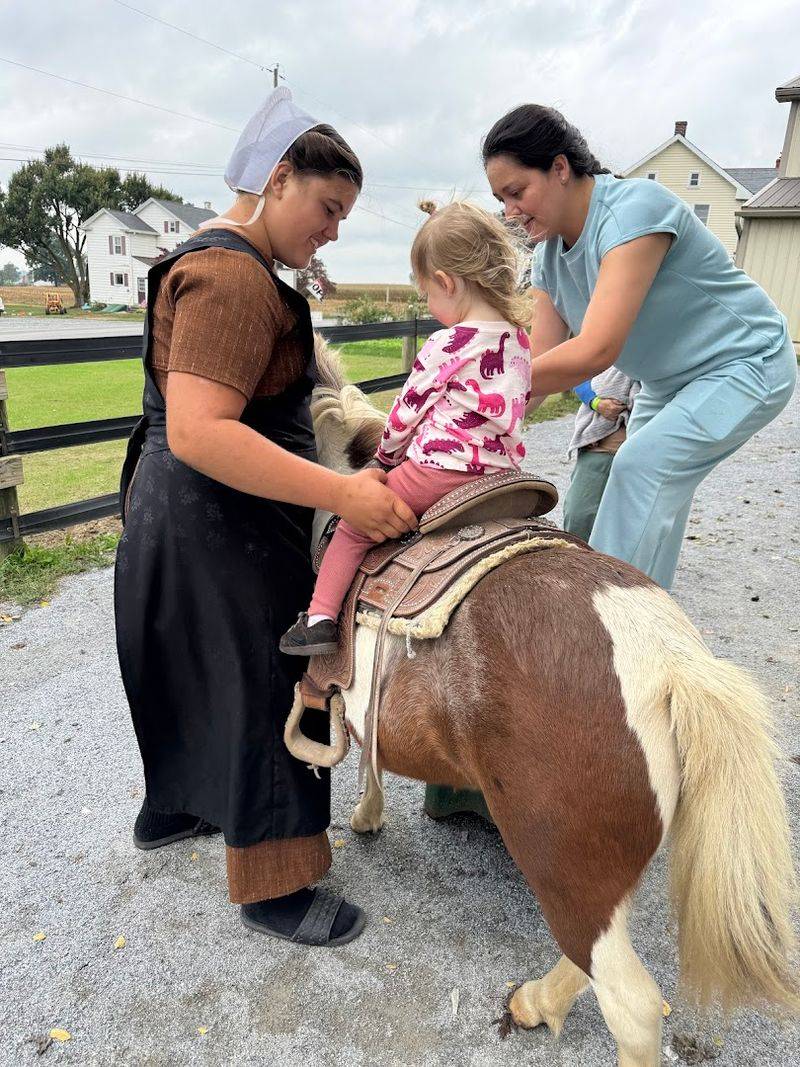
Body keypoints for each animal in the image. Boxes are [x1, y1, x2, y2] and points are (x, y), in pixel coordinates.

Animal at [303, 337, 798, 1067]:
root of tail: (673, 664)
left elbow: (366, 756)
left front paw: (364, 817)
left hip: (559, 860)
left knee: (629, 1001)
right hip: (593, 871)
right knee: (590, 947)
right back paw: (537, 1001)